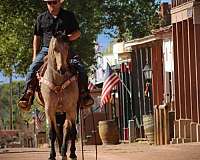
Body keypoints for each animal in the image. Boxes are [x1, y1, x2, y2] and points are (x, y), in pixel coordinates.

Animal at [38, 31, 79, 159]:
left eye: (67, 47)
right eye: (55, 48)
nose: (62, 69)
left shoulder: (71, 108)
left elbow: (71, 131)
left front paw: (72, 153)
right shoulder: (49, 109)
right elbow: (52, 132)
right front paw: (52, 154)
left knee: (66, 129)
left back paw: (65, 150)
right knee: (58, 129)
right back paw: (61, 150)